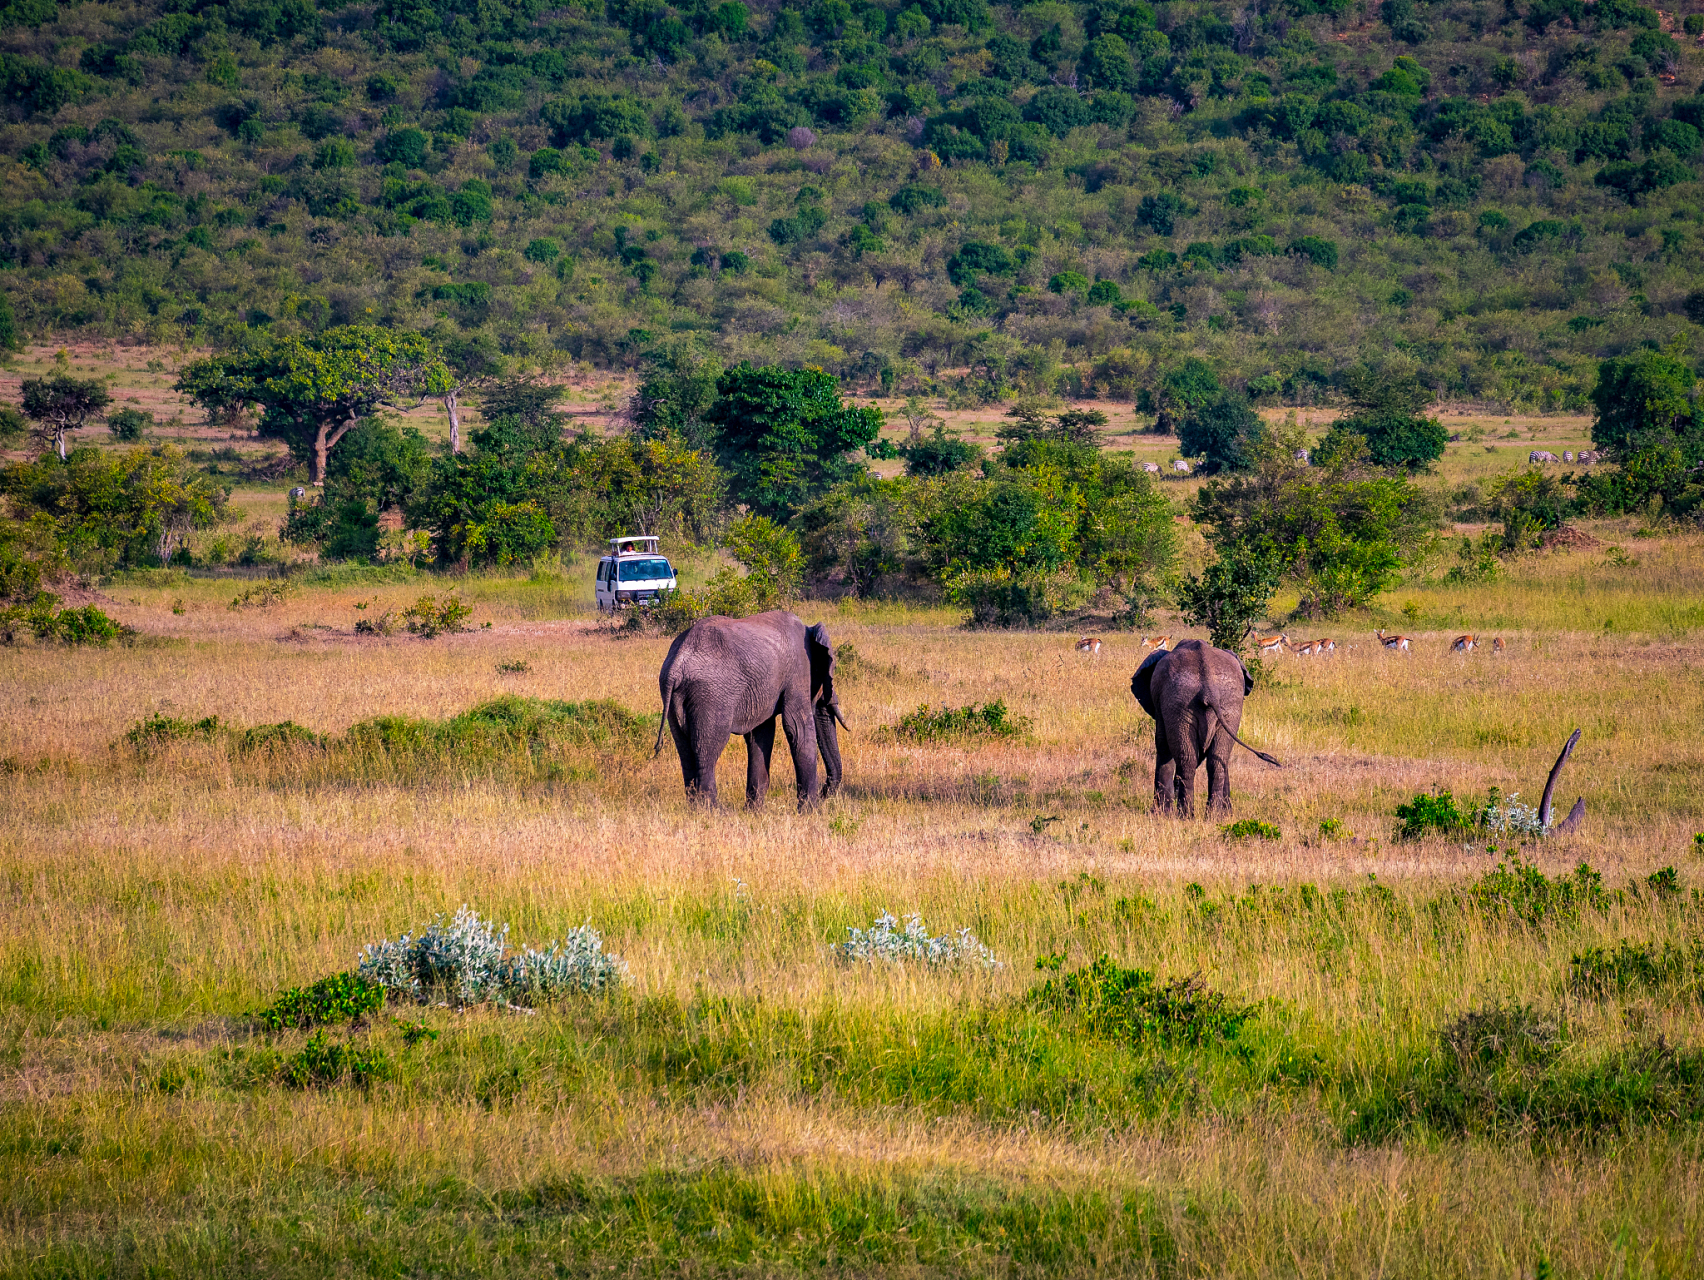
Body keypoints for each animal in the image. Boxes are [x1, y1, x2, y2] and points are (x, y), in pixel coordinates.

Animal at [650, 613, 845, 811]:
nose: (824, 794)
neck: (809, 629)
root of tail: (676, 665)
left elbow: (760, 735)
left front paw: (754, 811)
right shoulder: (798, 671)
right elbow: (797, 728)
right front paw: (810, 811)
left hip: (675, 698)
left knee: (685, 751)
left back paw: (695, 811)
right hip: (711, 695)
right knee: (708, 750)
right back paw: (715, 812)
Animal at [1131, 640, 1281, 821]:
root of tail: (1208, 688)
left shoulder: (1161, 704)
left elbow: (1162, 745)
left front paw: (1159, 814)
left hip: (1181, 704)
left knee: (1187, 759)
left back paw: (1185, 816)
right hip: (1227, 704)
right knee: (1217, 760)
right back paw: (1213, 816)